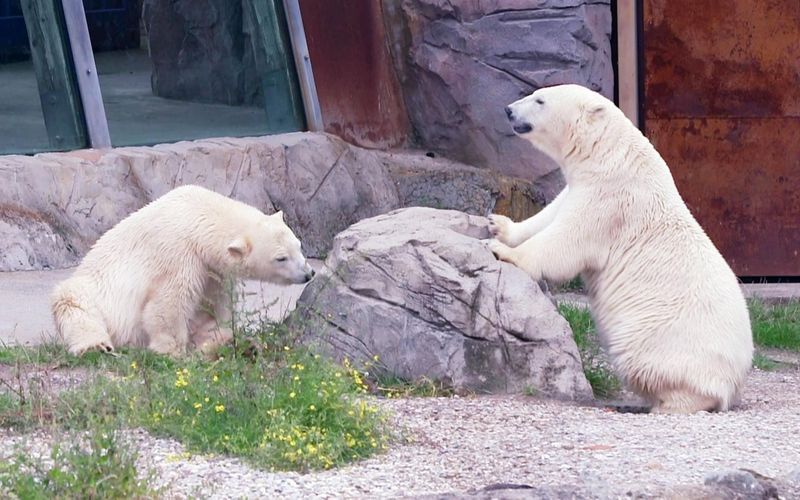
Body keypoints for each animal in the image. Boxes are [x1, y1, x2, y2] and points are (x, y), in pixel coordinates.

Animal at [51, 187, 314, 356]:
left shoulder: (211, 269)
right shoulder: (177, 252)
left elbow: (210, 308)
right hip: (91, 291)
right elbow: (168, 302)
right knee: (75, 306)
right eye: (281, 258)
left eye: (299, 245)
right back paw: (96, 346)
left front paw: (221, 340)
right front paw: (171, 349)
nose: (308, 273)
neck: (196, 215)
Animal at [488, 85, 756, 414]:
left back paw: (665, 404)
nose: (508, 110)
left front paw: (503, 251)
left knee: (655, 365)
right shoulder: (585, 187)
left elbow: (567, 240)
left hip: (666, 340)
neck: (609, 156)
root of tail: (736, 377)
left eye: (540, 100)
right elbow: (550, 215)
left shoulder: (612, 199)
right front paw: (499, 225)